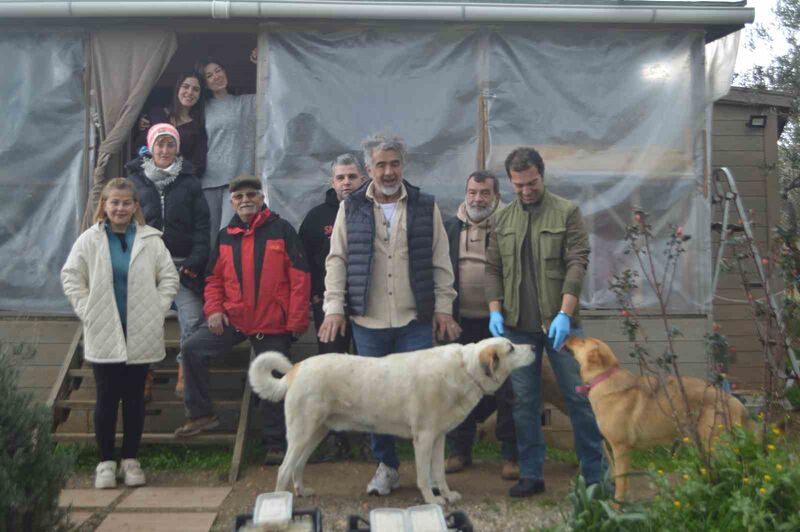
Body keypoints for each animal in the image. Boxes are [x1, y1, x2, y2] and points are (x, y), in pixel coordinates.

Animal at [247, 338, 536, 504]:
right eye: (511, 348)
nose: (534, 347)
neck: (464, 370)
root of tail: (295, 369)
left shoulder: (439, 438)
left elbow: (439, 473)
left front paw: (447, 494)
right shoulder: (424, 438)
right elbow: (424, 476)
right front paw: (432, 500)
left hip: (315, 433)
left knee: (298, 465)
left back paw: (301, 491)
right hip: (302, 433)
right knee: (284, 468)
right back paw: (280, 503)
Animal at [564, 336, 752, 502]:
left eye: (582, 341)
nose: (567, 336)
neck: (605, 378)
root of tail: (734, 401)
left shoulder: (620, 448)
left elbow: (621, 483)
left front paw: (617, 507)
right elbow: (621, 480)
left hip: (716, 446)